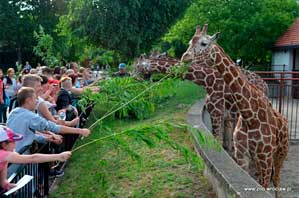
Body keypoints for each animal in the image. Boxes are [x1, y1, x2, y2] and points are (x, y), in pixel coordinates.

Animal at [182, 24, 290, 196]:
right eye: (189, 42)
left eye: (204, 43)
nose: (184, 58)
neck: (249, 114)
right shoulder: (242, 155)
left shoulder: (265, 157)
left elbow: (264, 186)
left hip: (280, 153)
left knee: (276, 180)